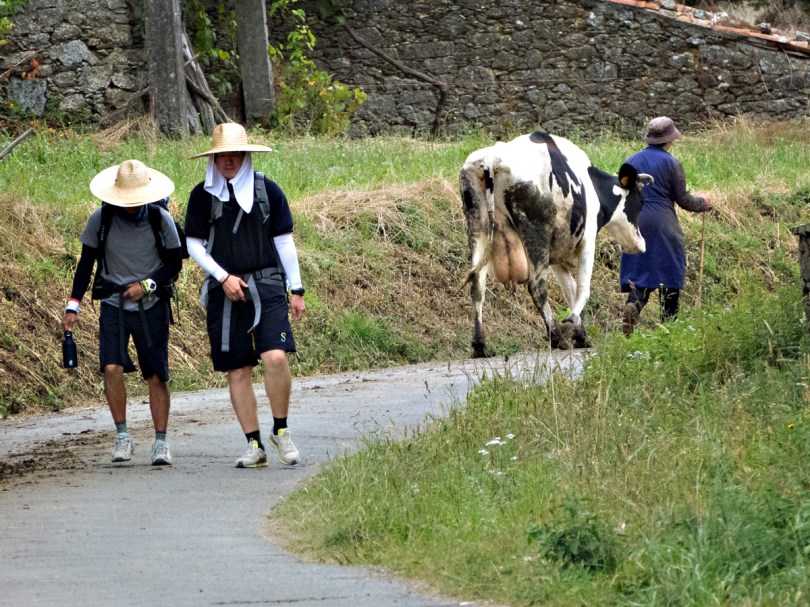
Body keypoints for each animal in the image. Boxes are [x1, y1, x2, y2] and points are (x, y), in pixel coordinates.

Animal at [459, 131, 652, 356]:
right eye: (640, 202)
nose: (641, 244)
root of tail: (492, 159)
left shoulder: (557, 257)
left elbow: (570, 291)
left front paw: (581, 335)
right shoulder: (587, 241)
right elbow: (582, 290)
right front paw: (571, 325)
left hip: (477, 228)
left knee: (477, 286)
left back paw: (479, 345)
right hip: (535, 233)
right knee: (537, 287)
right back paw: (557, 337)